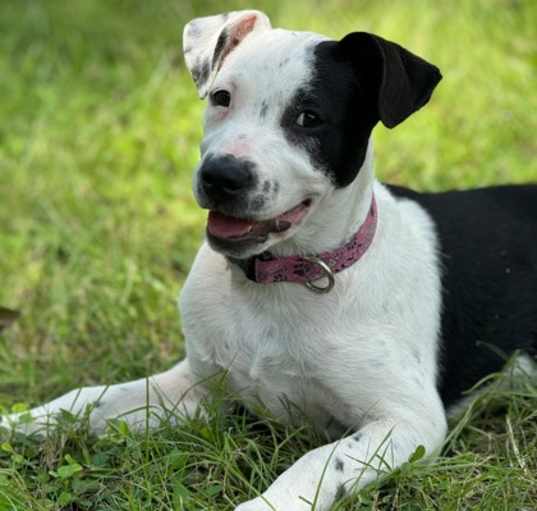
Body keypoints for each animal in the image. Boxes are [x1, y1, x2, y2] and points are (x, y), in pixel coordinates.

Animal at [4, 9, 536, 511]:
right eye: (221, 97)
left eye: (309, 118)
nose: (221, 176)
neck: (283, 280)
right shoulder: (198, 387)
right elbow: (90, 399)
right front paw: (18, 422)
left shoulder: (407, 420)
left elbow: (318, 461)